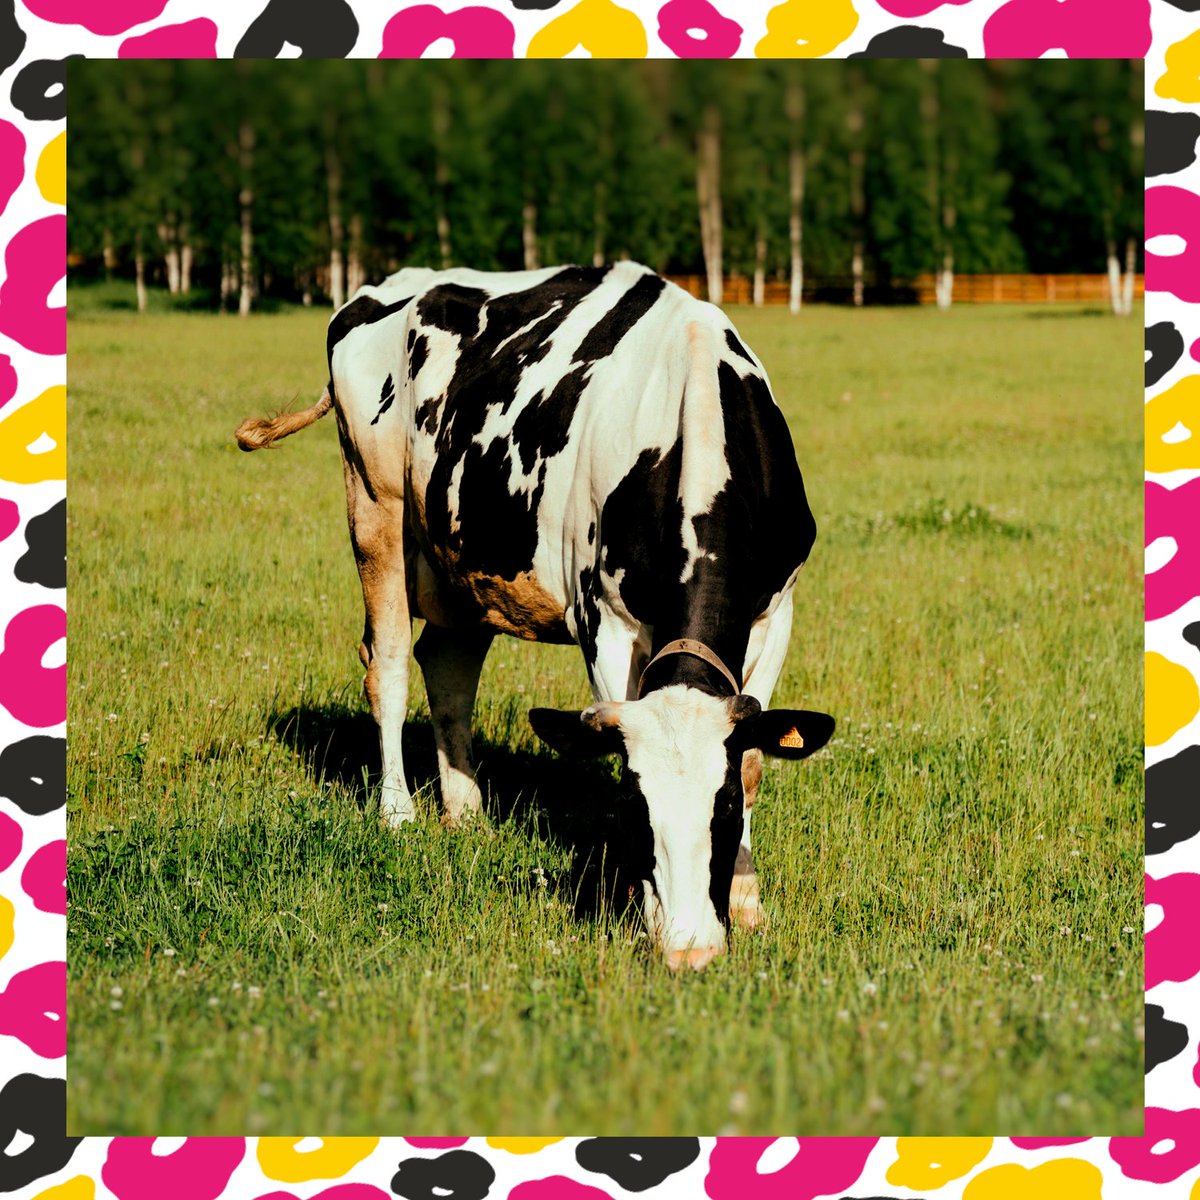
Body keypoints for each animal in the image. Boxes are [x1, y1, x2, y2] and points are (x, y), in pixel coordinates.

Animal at [236, 261, 834, 971]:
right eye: (633, 807)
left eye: (725, 812)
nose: (688, 950)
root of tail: (389, 285)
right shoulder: (603, 619)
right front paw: (634, 909)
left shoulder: (777, 611)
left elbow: (753, 759)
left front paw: (746, 905)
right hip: (375, 506)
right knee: (389, 668)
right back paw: (399, 814)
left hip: (462, 559)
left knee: (447, 666)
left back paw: (465, 813)